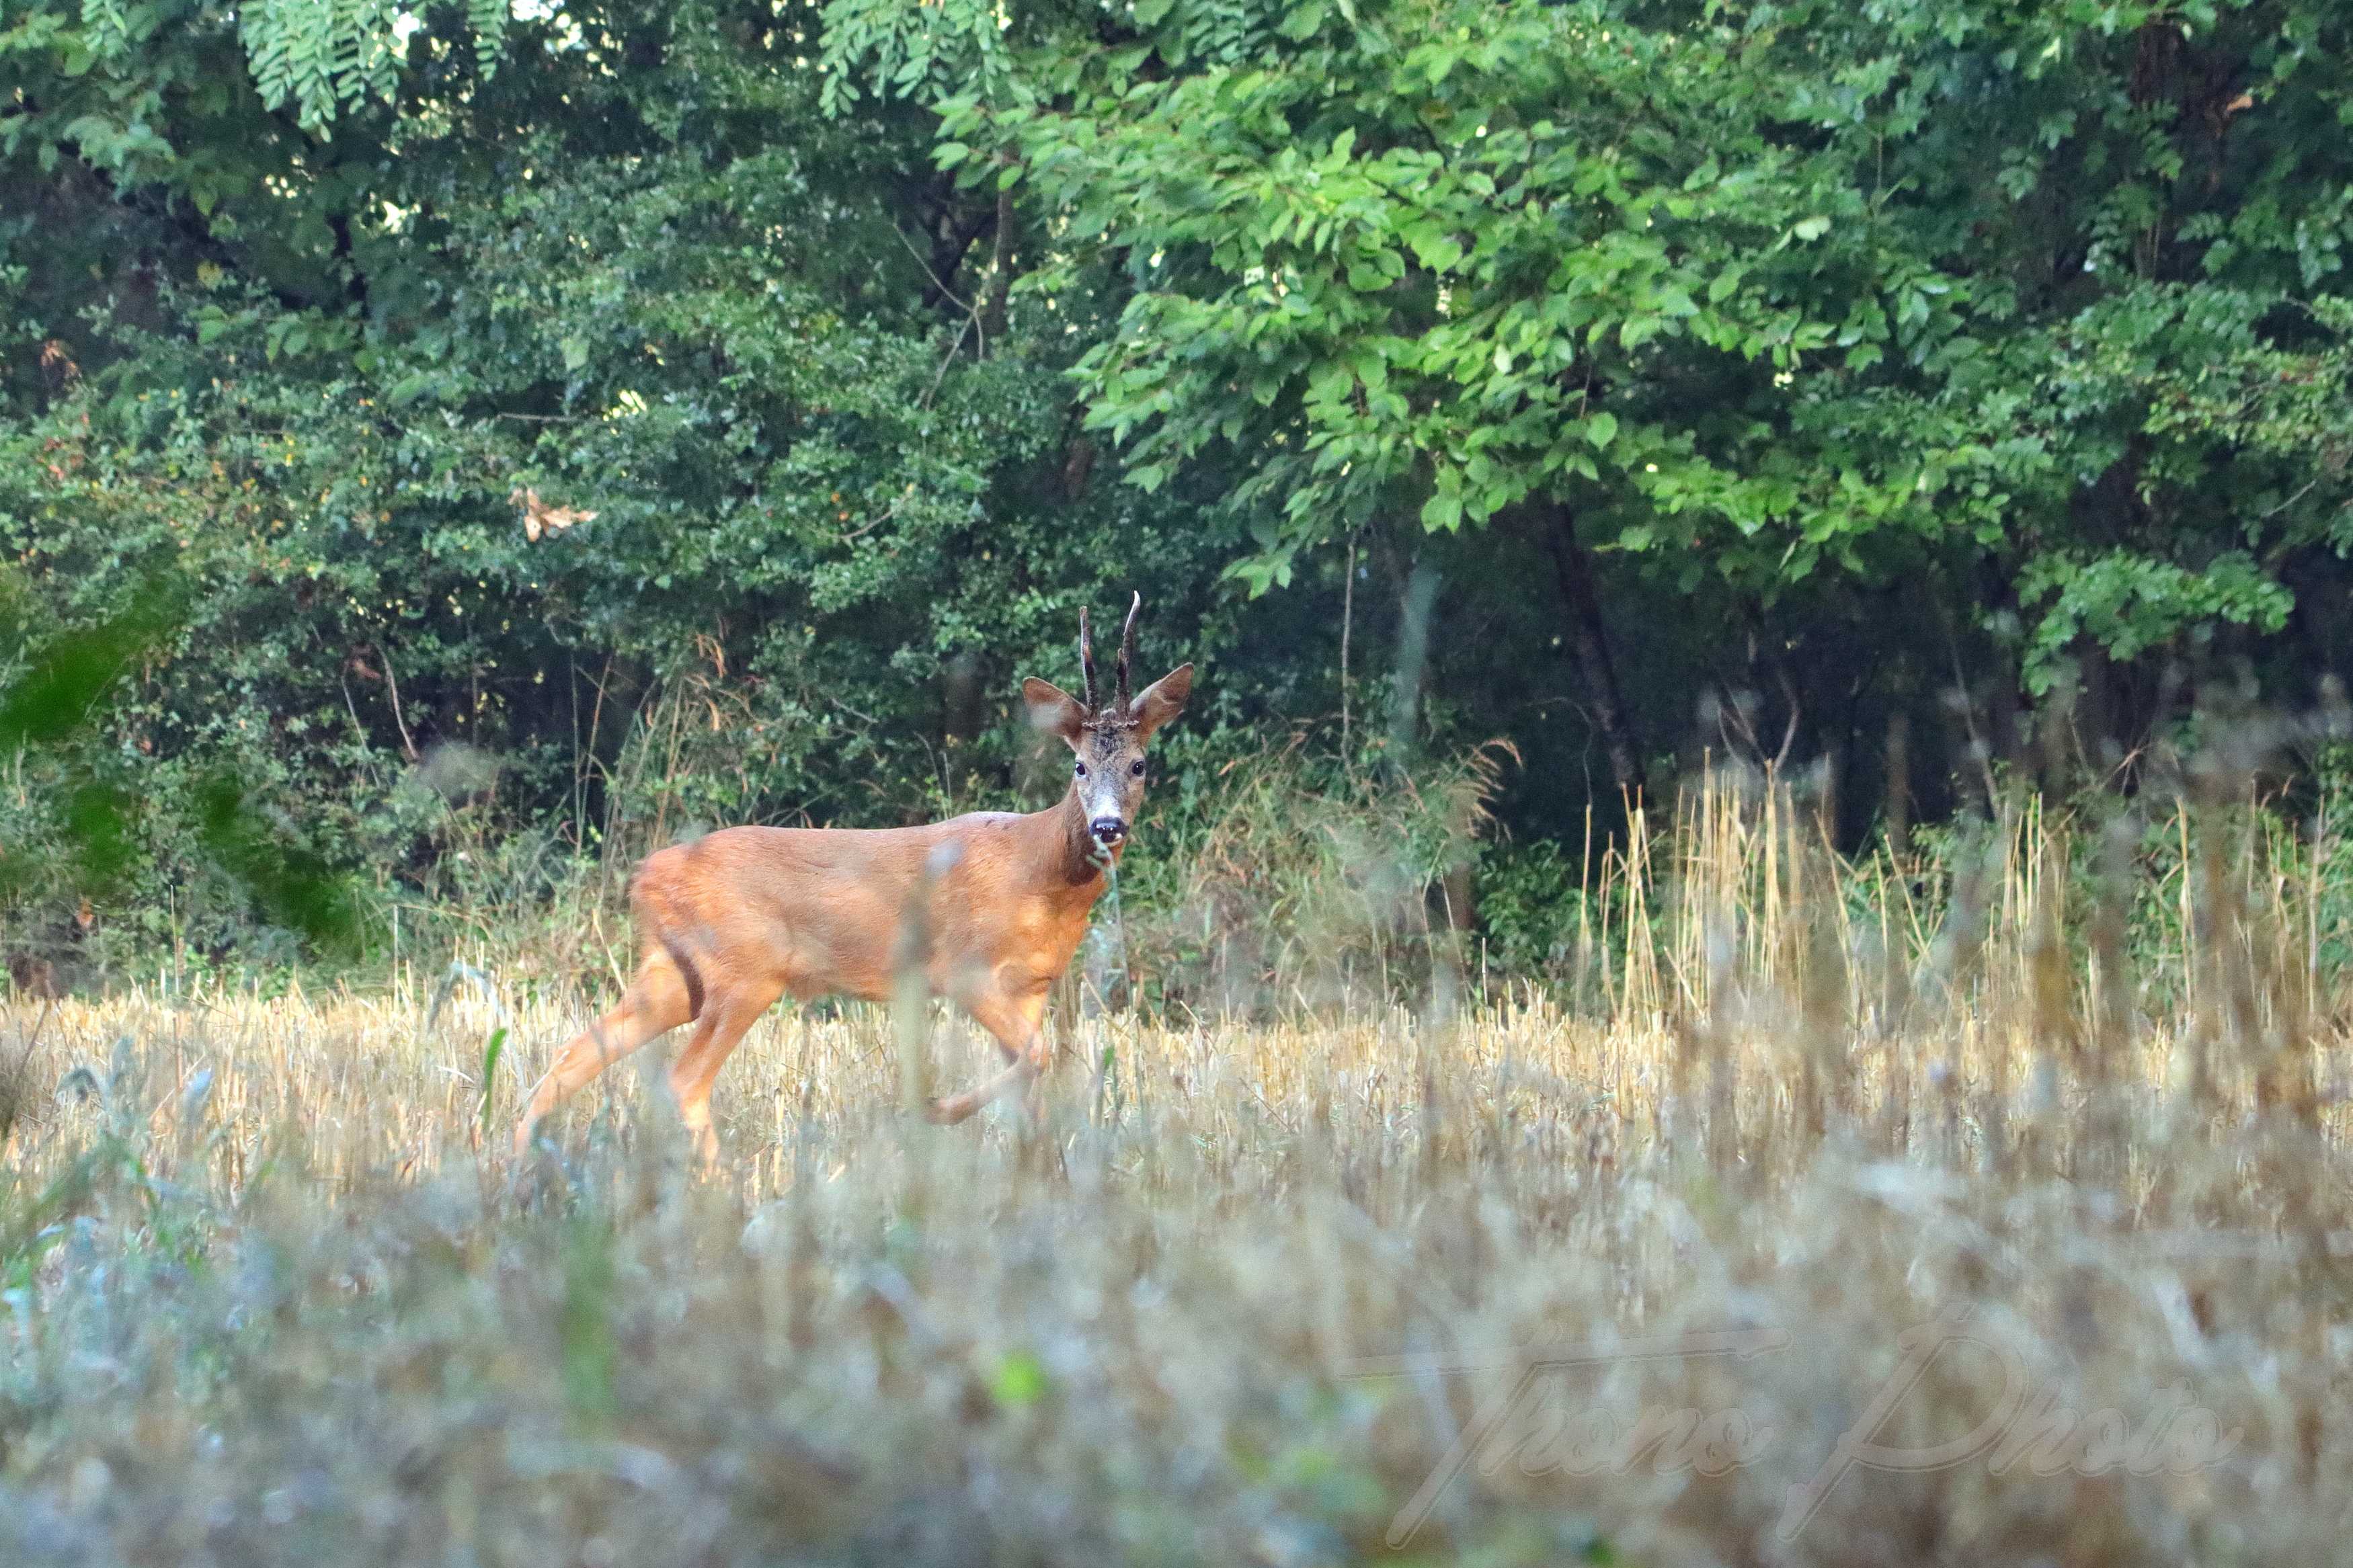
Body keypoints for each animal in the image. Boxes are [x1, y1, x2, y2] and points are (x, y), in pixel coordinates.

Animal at [506, 594, 1186, 1161]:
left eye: (1139, 764)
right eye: (1078, 765)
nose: (1106, 826)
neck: (1041, 872)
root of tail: (646, 874)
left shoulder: (1034, 984)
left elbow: (1034, 1081)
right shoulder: (961, 967)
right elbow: (1038, 1057)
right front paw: (932, 1109)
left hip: (673, 973)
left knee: (569, 1059)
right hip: (744, 970)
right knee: (682, 1080)